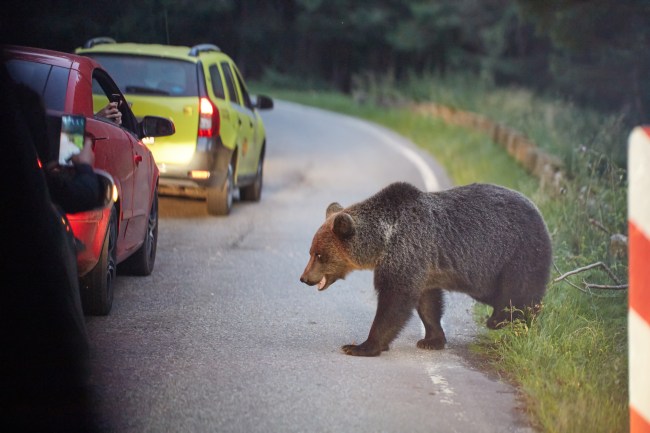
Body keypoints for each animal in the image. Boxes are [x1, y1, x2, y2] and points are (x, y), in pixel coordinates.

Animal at [300, 182, 552, 357]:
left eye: (319, 254)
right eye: (311, 251)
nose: (304, 278)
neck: (383, 241)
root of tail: (541, 213)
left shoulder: (407, 252)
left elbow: (394, 301)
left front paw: (361, 346)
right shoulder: (424, 266)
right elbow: (427, 302)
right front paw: (431, 339)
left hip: (516, 253)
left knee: (517, 292)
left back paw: (501, 320)